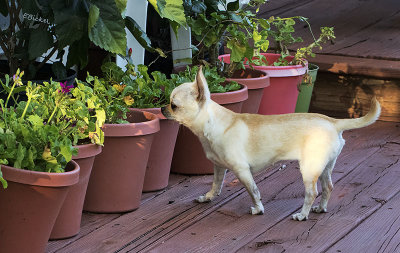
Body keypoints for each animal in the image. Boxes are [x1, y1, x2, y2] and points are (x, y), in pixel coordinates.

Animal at [160, 66, 382, 220]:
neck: (212, 123)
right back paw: (320, 209)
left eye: (174, 105)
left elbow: (253, 191)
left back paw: (302, 215)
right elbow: (216, 185)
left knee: (312, 192)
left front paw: (258, 209)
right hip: (324, 166)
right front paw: (208, 197)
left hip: (309, 168)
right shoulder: (219, 167)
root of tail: (333, 122)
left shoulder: (242, 171)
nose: (162, 108)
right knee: (328, 187)